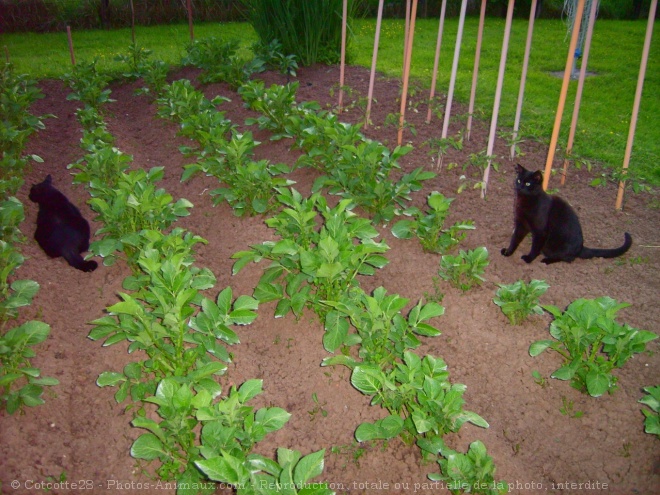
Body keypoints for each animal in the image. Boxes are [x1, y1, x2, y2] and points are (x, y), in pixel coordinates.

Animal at [502, 165, 632, 266]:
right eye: (519, 180)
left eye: (528, 183)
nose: (519, 187)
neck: (525, 201)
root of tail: (581, 247)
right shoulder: (521, 224)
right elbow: (515, 239)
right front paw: (508, 252)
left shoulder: (540, 231)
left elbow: (535, 248)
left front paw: (528, 259)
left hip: (554, 246)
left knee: (568, 258)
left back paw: (546, 260)